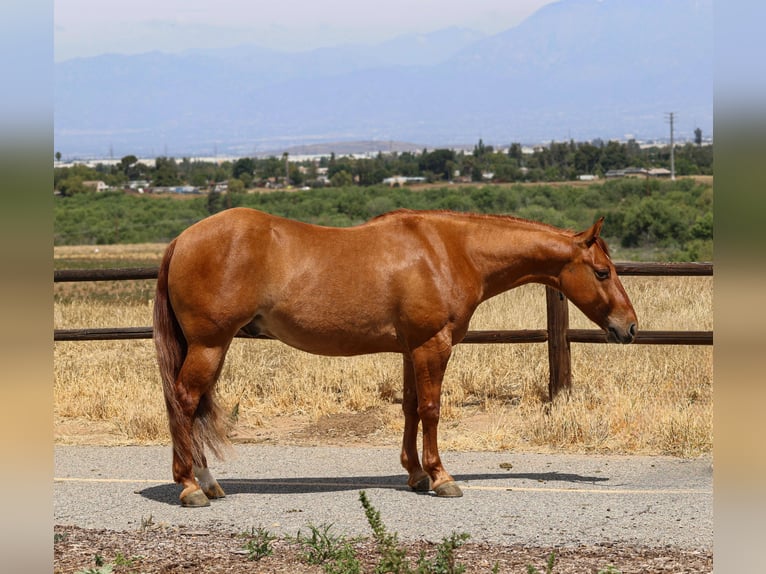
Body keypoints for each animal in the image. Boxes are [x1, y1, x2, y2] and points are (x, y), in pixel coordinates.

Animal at [153, 207, 637, 507]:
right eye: (602, 272)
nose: (630, 327)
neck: (450, 251)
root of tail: (181, 240)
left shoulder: (410, 349)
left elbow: (409, 408)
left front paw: (416, 474)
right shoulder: (433, 345)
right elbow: (432, 409)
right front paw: (442, 478)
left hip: (215, 347)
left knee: (192, 407)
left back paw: (208, 482)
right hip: (210, 345)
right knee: (184, 401)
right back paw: (191, 487)